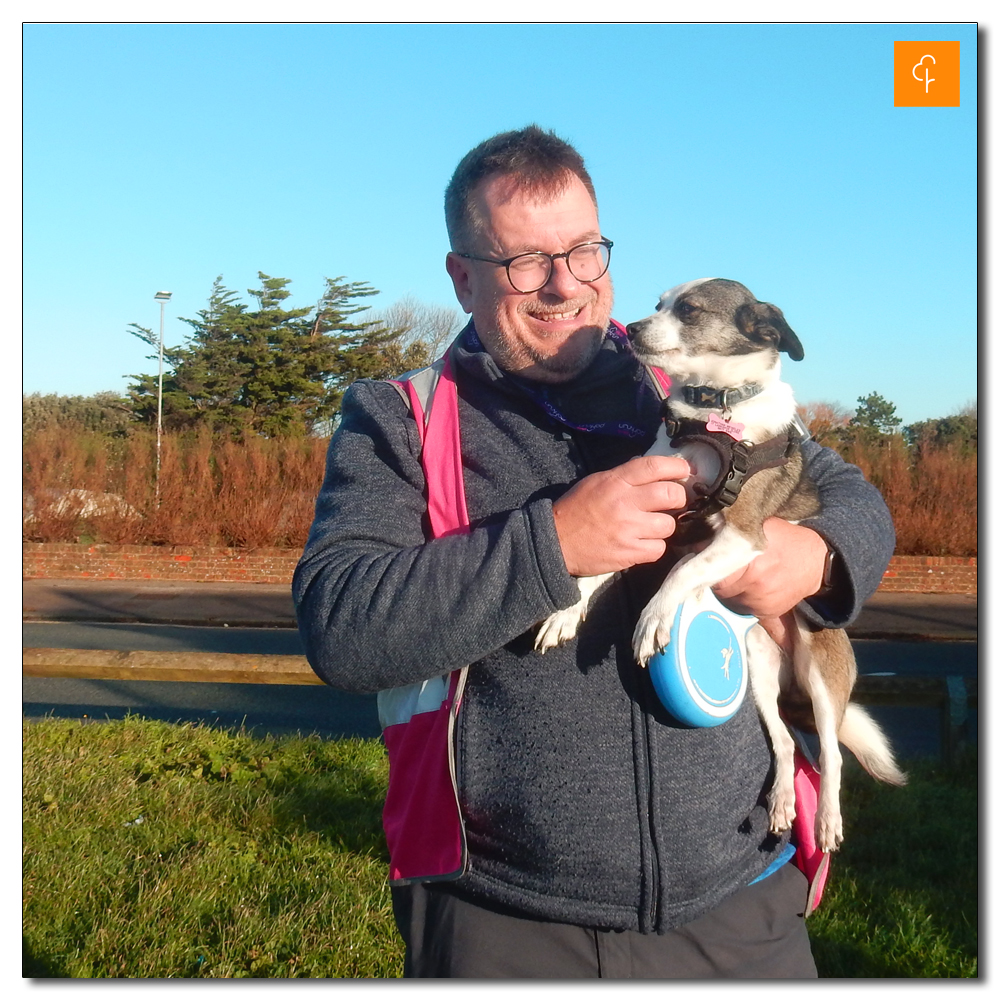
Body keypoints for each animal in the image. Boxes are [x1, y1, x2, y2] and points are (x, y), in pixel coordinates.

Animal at [540, 280, 908, 852]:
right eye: (659, 304)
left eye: (689, 310)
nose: (633, 330)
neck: (713, 413)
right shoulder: (649, 514)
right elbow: (599, 567)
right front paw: (566, 611)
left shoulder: (743, 538)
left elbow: (681, 572)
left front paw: (654, 618)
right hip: (758, 667)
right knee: (784, 743)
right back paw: (781, 802)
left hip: (822, 674)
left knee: (830, 752)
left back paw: (827, 819)